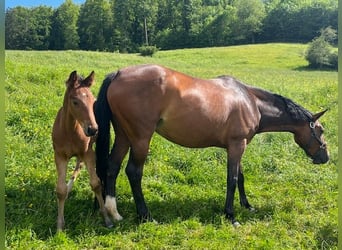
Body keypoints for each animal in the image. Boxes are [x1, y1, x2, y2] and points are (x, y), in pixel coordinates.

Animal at [51, 70, 112, 230]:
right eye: (75, 102)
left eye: (92, 101)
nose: (92, 129)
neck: (70, 131)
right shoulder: (59, 155)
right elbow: (60, 190)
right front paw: (59, 226)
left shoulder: (88, 153)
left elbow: (96, 184)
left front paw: (107, 219)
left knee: (80, 164)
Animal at [94, 64, 328, 227]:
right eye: (321, 130)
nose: (325, 157)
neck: (250, 101)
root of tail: (118, 74)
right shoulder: (237, 145)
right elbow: (232, 179)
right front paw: (231, 215)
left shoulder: (237, 147)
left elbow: (240, 177)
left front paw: (247, 206)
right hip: (141, 139)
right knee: (133, 172)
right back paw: (146, 216)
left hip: (124, 136)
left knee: (112, 167)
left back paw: (114, 212)